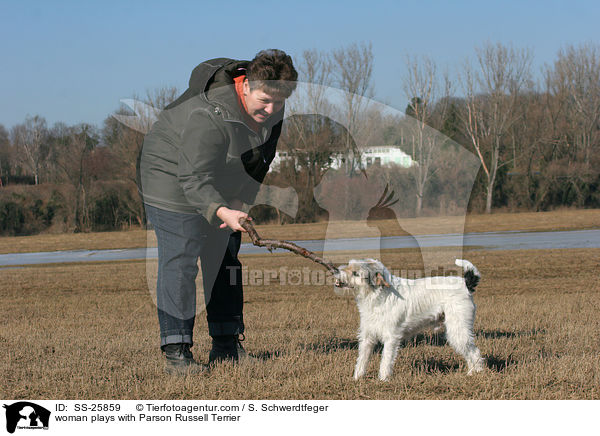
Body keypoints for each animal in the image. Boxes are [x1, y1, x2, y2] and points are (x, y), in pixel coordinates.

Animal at [336, 258, 486, 380]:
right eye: (349, 264)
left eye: (356, 273)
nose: (336, 271)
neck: (377, 294)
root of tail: (465, 284)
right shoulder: (367, 337)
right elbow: (362, 360)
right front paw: (357, 378)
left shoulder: (391, 338)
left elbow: (386, 360)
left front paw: (383, 379)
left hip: (458, 330)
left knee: (474, 352)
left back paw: (475, 373)